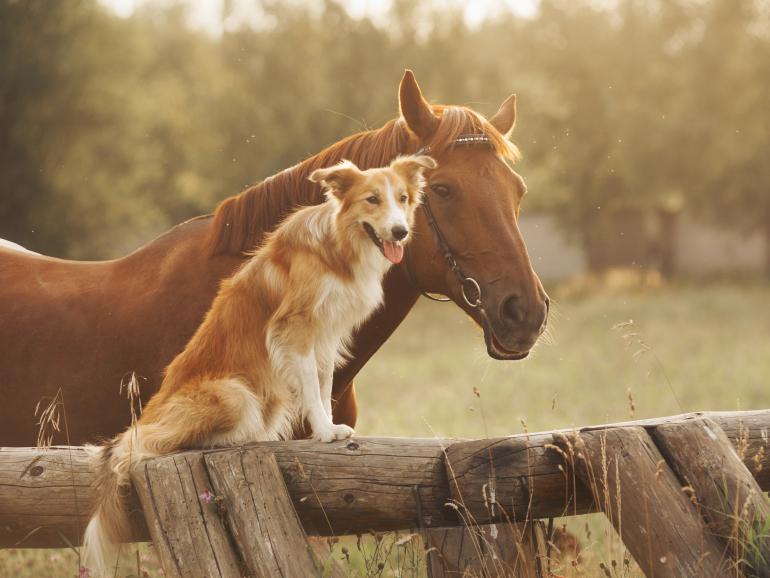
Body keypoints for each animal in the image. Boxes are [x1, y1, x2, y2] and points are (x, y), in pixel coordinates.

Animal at [81, 154, 436, 576]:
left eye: (403, 198)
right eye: (372, 199)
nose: (400, 232)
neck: (337, 246)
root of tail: (148, 414)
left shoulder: (327, 336)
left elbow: (323, 384)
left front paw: (329, 427)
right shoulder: (295, 329)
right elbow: (312, 389)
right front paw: (323, 432)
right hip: (234, 394)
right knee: (149, 444)